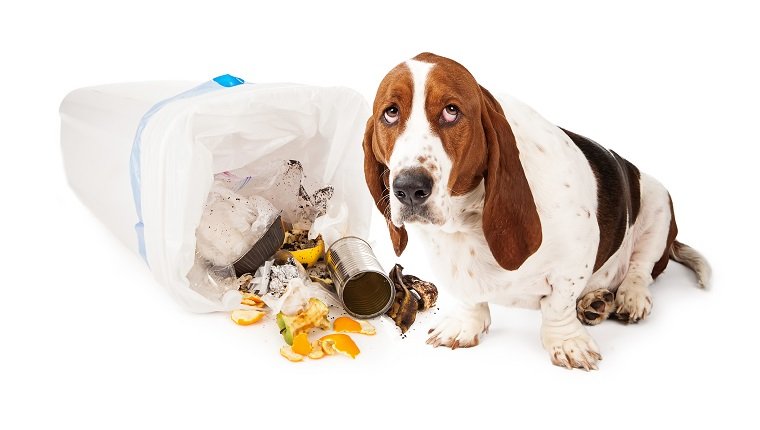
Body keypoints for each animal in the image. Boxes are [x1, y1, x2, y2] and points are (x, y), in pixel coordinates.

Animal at [366, 53, 708, 370]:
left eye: (452, 111)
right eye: (391, 112)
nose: (409, 188)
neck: (467, 218)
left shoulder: (575, 257)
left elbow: (558, 304)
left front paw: (567, 342)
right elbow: (468, 297)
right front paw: (465, 325)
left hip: (658, 201)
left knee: (640, 269)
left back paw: (628, 297)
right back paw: (596, 300)